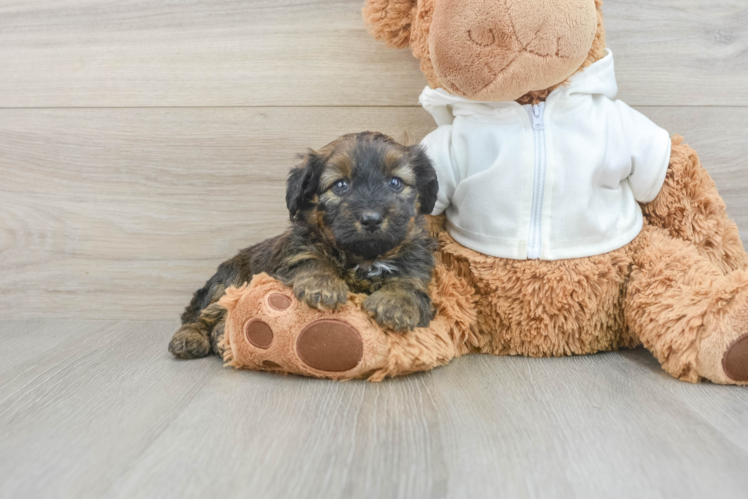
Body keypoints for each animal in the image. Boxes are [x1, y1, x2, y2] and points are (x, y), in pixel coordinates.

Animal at [169, 133, 438, 360]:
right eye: (341, 185)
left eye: (395, 182)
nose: (371, 219)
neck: (364, 258)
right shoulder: (293, 255)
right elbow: (310, 259)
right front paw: (322, 285)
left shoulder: (416, 268)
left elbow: (410, 286)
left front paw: (395, 303)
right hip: (228, 283)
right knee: (201, 315)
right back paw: (190, 338)